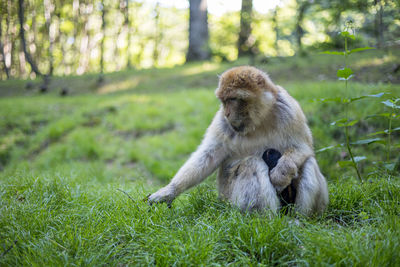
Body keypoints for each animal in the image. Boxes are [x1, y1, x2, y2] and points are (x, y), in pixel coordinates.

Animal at [147, 66, 328, 217]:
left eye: (233, 99)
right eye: (223, 101)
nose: (227, 113)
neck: (260, 120)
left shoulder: (289, 109)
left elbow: (303, 147)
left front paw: (281, 174)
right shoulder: (222, 122)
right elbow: (208, 156)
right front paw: (169, 191)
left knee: (308, 162)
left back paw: (300, 218)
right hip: (228, 199)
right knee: (251, 164)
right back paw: (267, 221)